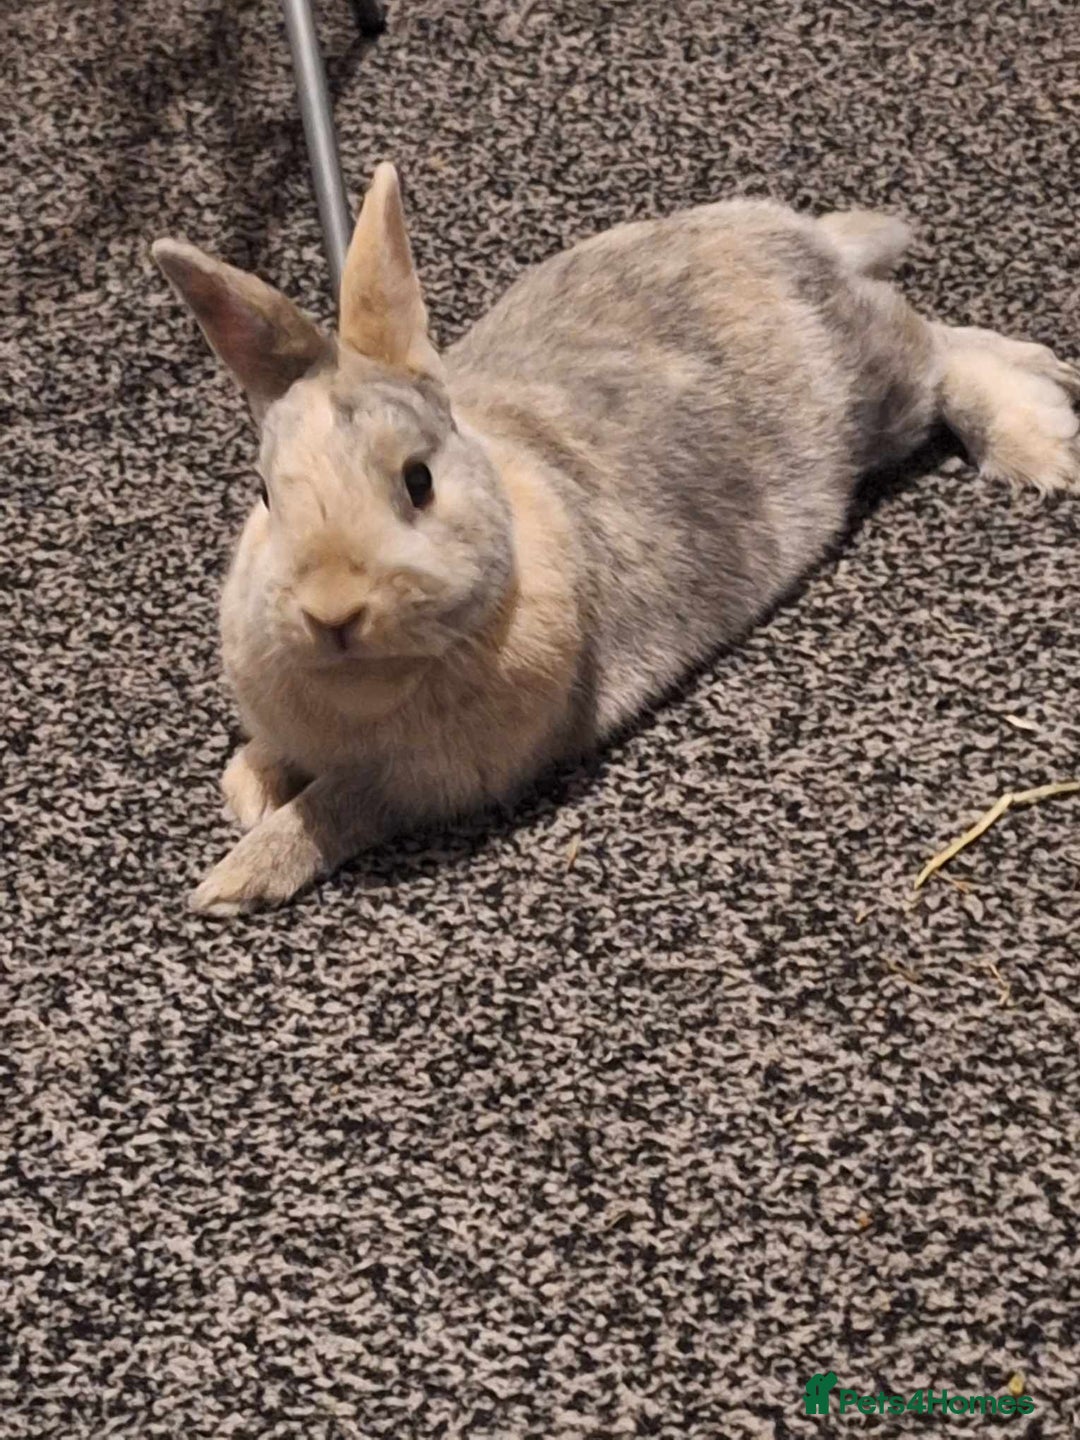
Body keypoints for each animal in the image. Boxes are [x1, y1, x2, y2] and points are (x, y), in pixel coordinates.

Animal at [154, 163, 1080, 914]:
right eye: (264, 494)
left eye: (418, 481)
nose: (332, 611)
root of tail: (793, 233)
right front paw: (249, 788)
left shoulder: (425, 783)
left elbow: (338, 807)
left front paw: (236, 876)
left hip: (878, 389)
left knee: (942, 352)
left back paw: (1041, 439)